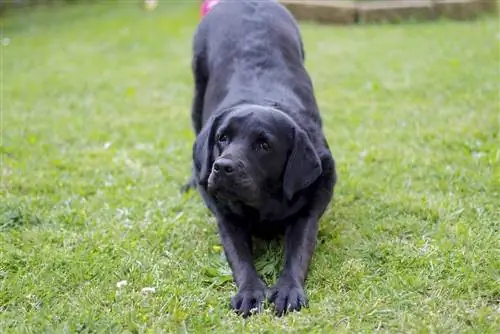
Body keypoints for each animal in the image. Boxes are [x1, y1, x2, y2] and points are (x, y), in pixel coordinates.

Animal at [183, 0, 336, 318]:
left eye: (264, 145)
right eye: (222, 138)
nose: (222, 167)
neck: (265, 201)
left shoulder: (308, 213)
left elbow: (297, 254)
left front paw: (288, 289)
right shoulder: (226, 218)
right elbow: (241, 260)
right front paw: (250, 292)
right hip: (197, 91)